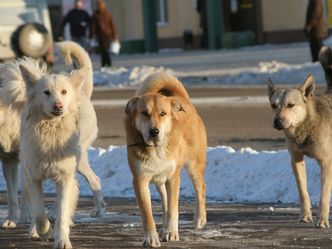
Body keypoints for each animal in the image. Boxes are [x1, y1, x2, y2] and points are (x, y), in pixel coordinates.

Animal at [125, 72, 206, 247]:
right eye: (144, 113)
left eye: (163, 113)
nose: (154, 131)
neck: (156, 149)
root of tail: (181, 98)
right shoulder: (140, 180)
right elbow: (147, 213)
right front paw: (151, 238)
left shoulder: (173, 177)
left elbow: (173, 208)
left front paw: (171, 232)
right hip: (160, 181)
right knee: (164, 201)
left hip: (194, 165)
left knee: (201, 189)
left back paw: (199, 219)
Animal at [268, 45, 332, 229]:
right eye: (273, 105)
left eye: (290, 105)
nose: (277, 121)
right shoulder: (296, 159)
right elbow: (303, 191)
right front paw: (305, 215)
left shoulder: (326, 162)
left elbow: (324, 196)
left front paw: (323, 220)